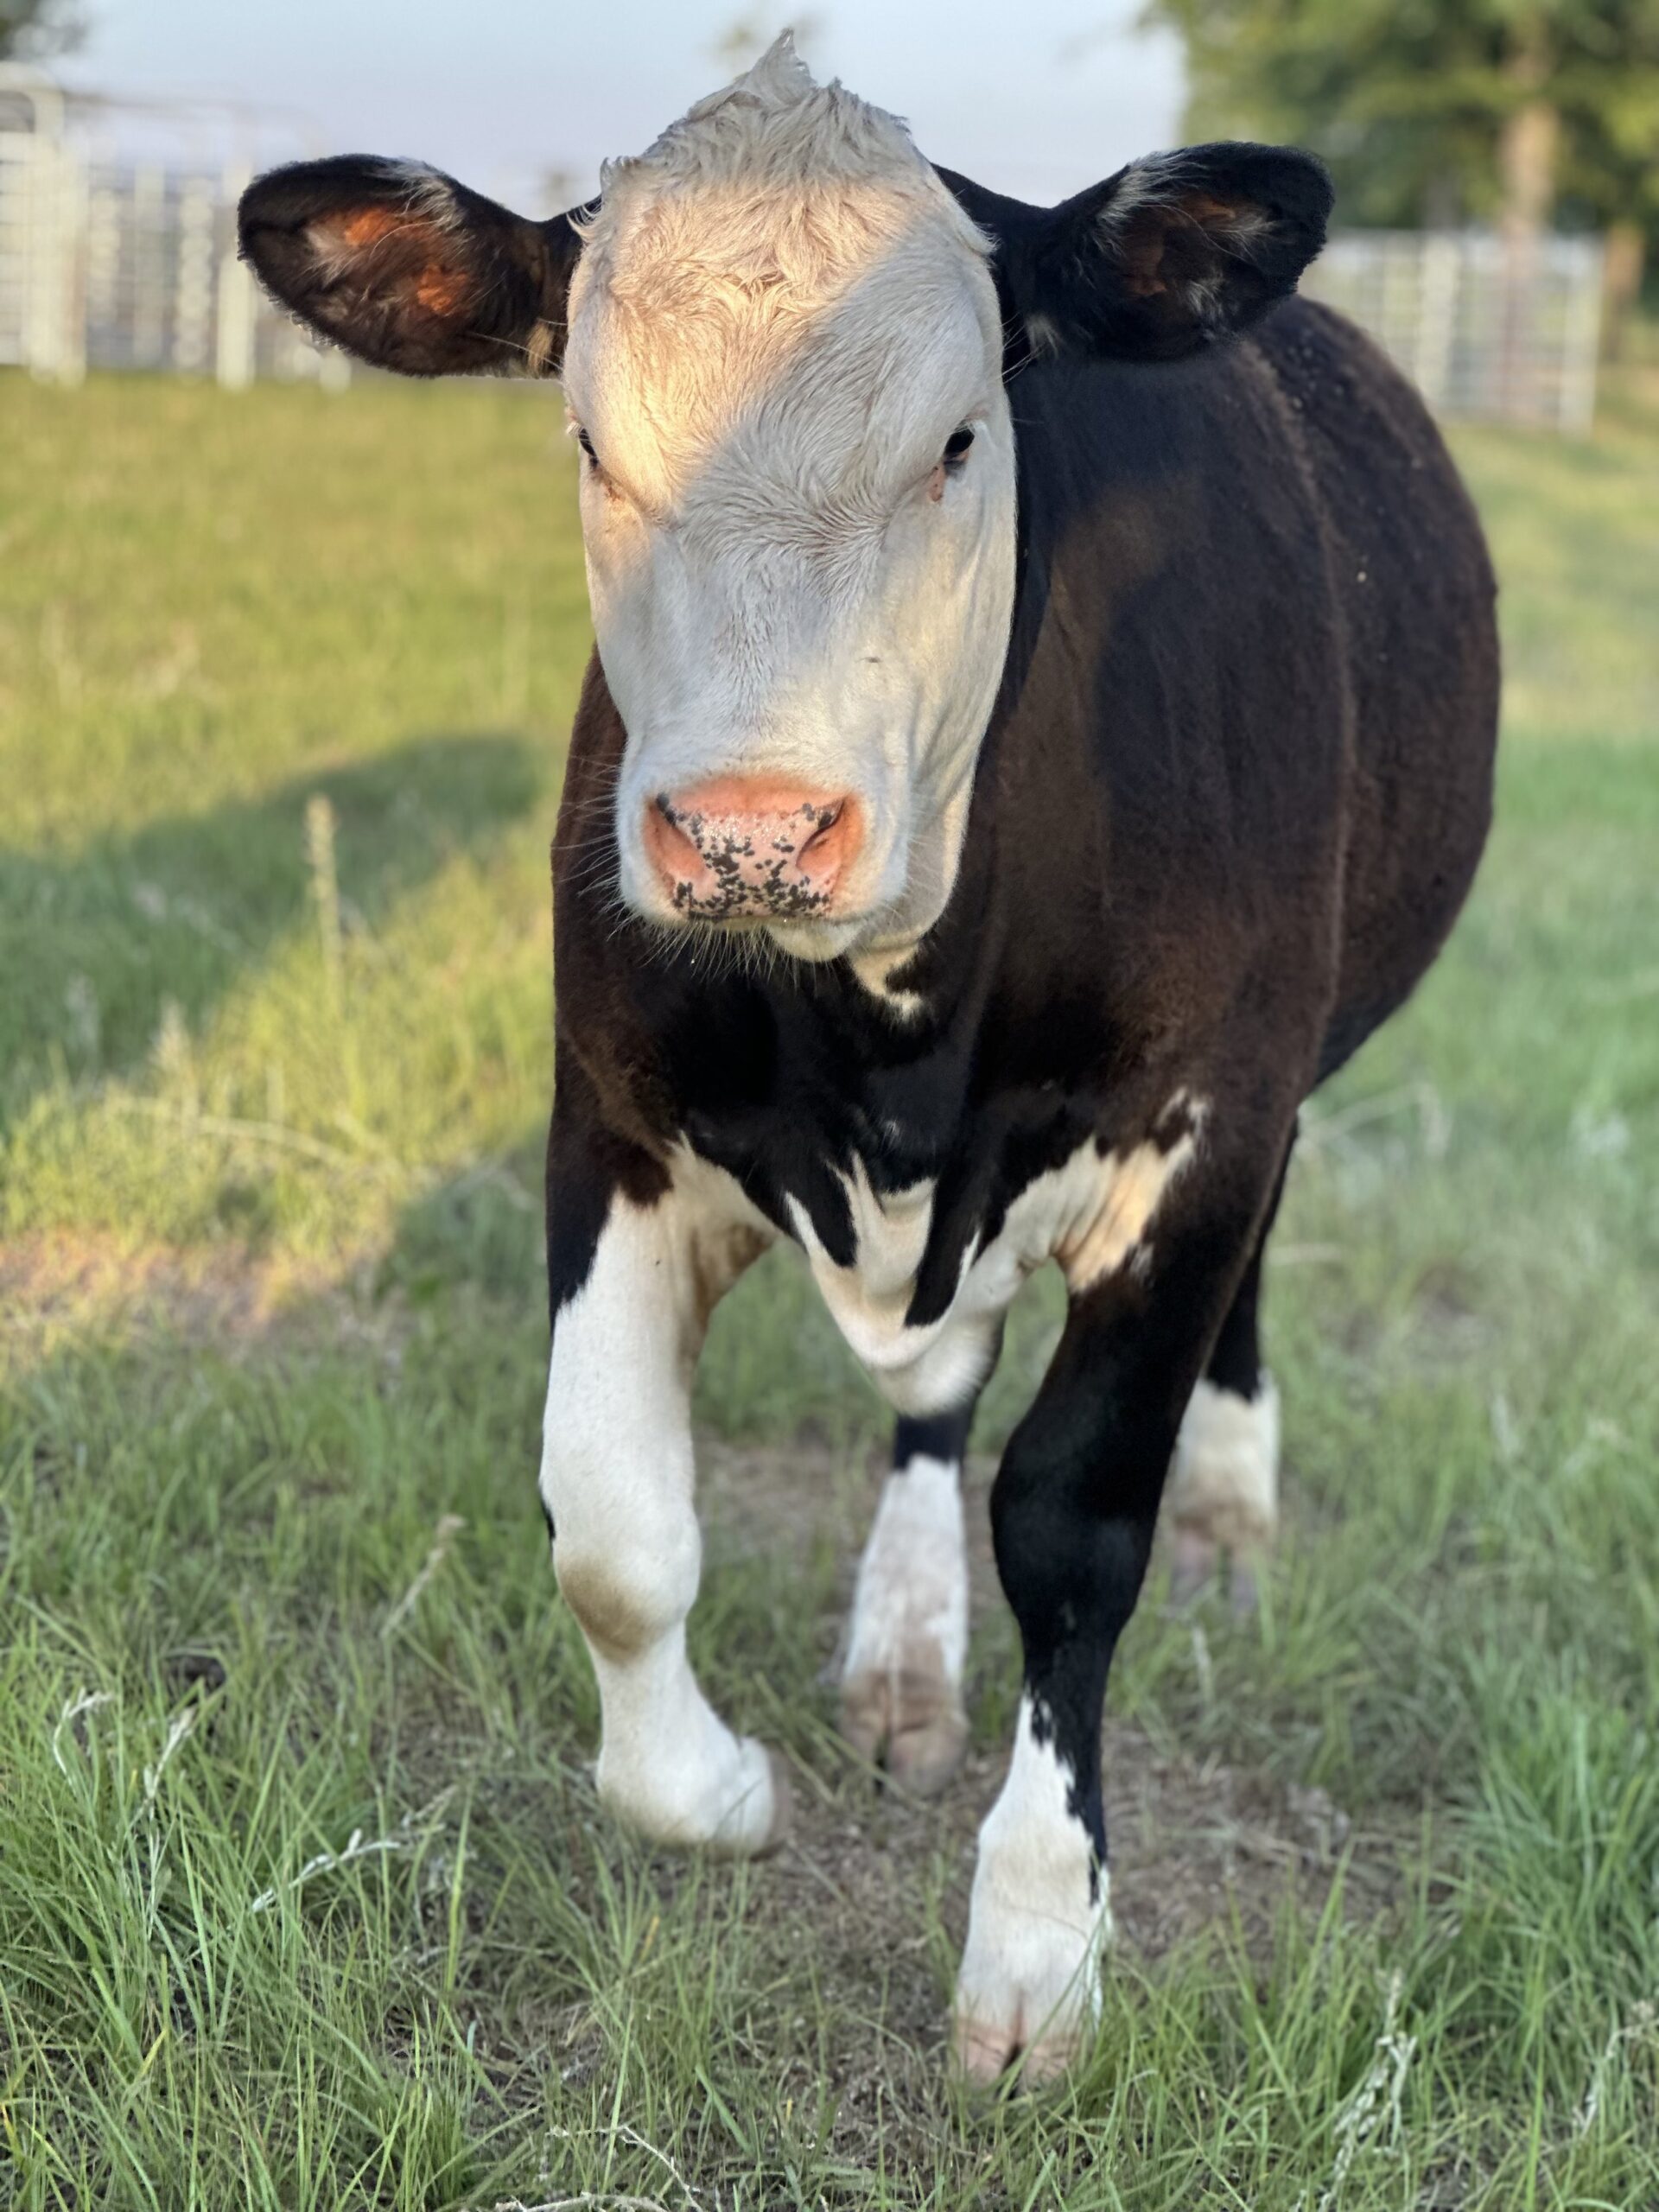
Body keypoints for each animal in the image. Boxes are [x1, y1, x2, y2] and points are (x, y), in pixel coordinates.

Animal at [239, 34, 1498, 2084]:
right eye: (588, 439)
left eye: (964, 441)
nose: (751, 830)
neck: (892, 1037)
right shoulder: (612, 1118)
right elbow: (610, 1519)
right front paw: (710, 1789)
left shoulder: (1204, 1130)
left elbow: (1073, 1524)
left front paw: (1039, 1945)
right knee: (933, 1387)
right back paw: (904, 1643)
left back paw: (1230, 1499)